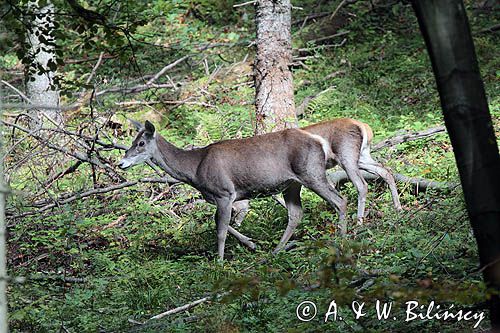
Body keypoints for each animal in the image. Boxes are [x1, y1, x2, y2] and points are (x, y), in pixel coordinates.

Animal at [118, 117, 402, 260]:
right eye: (132, 141)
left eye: (141, 143)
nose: (121, 162)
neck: (195, 170)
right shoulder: (229, 197)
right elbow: (222, 224)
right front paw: (251, 244)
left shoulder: (224, 192)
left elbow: (220, 230)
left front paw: (219, 263)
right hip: (294, 183)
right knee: (297, 213)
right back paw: (277, 250)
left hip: (313, 172)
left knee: (343, 197)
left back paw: (343, 237)